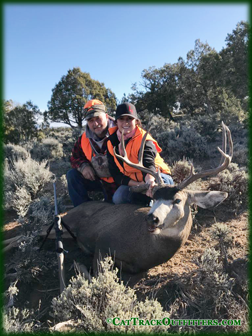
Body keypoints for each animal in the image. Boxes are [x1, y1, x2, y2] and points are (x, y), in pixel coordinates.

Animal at [3, 122, 232, 284]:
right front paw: (78, 266)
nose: (152, 218)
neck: (146, 248)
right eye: (154, 197)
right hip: (68, 221)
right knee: (29, 234)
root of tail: (80, 206)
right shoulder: (102, 244)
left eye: (177, 200)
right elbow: (95, 276)